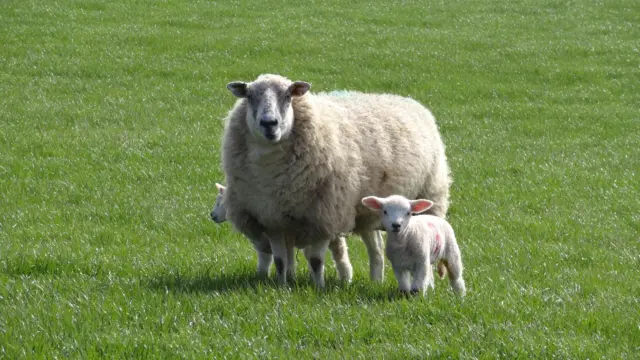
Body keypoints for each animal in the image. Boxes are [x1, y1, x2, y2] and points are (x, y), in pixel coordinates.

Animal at [222, 74, 452, 286]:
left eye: (288, 96)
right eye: (249, 96)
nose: (269, 124)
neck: (271, 174)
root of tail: (408, 100)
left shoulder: (325, 216)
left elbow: (316, 261)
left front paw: (318, 288)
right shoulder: (271, 219)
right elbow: (280, 261)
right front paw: (282, 287)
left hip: (431, 196)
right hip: (368, 212)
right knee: (376, 249)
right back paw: (375, 281)